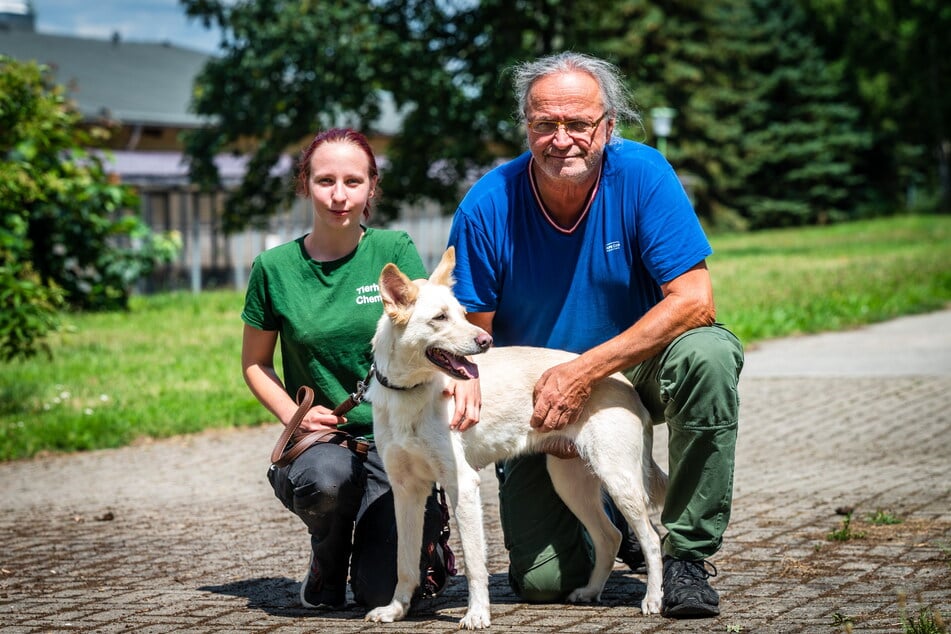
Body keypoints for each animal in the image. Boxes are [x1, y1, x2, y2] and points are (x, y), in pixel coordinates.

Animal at [364, 247, 668, 628]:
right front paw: (396, 609)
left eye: (463, 314)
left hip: (618, 479)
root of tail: (627, 386)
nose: (486, 341)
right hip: (571, 483)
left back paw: (653, 599)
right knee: (609, 536)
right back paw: (590, 591)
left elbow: (474, 564)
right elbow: (404, 562)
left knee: (652, 540)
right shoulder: (407, 491)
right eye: (440, 318)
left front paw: (477, 613)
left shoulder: (462, 485)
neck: (411, 392)